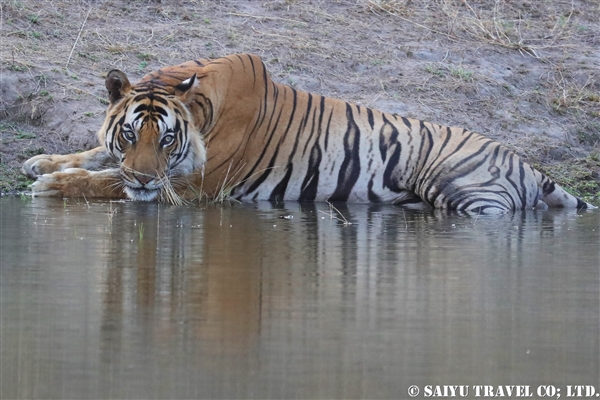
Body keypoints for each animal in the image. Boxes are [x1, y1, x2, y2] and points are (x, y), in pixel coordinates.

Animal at [22, 54, 596, 214]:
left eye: (166, 140)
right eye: (129, 135)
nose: (143, 177)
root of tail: (528, 164)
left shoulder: (194, 185)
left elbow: (105, 182)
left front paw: (50, 185)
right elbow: (97, 158)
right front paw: (43, 162)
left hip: (465, 192)